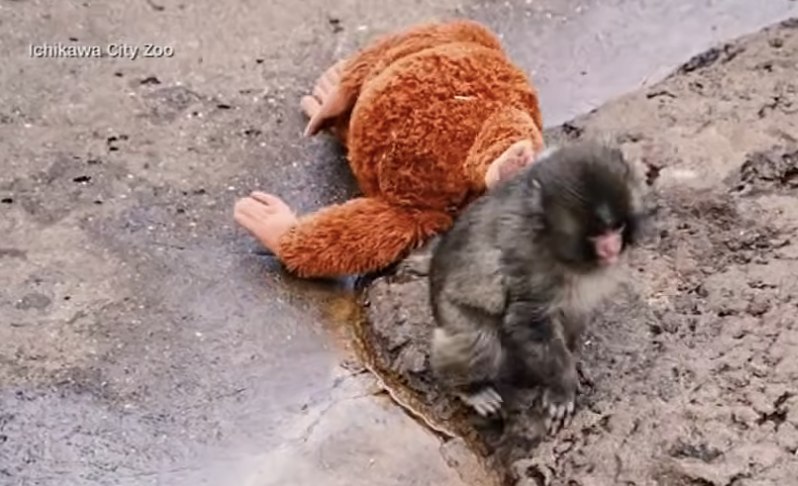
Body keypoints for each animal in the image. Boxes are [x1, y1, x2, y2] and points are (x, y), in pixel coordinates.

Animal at [427, 140, 647, 434]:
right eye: (596, 235)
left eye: (617, 227)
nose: (612, 248)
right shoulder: (530, 264)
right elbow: (527, 322)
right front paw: (562, 386)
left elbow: (573, 314)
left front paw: (572, 360)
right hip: (450, 310)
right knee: (480, 340)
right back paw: (470, 389)